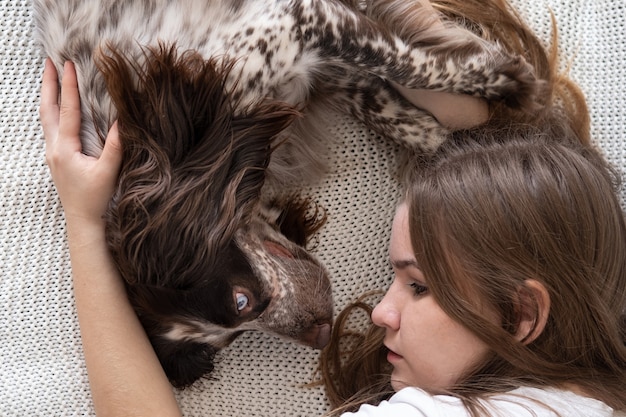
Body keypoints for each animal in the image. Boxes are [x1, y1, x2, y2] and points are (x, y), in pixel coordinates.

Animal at [31, 0, 536, 386]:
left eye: (241, 301)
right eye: (233, 334)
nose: (321, 336)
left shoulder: (292, 24)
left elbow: (409, 67)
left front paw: (510, 82)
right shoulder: (314, 62)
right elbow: (401, 112)